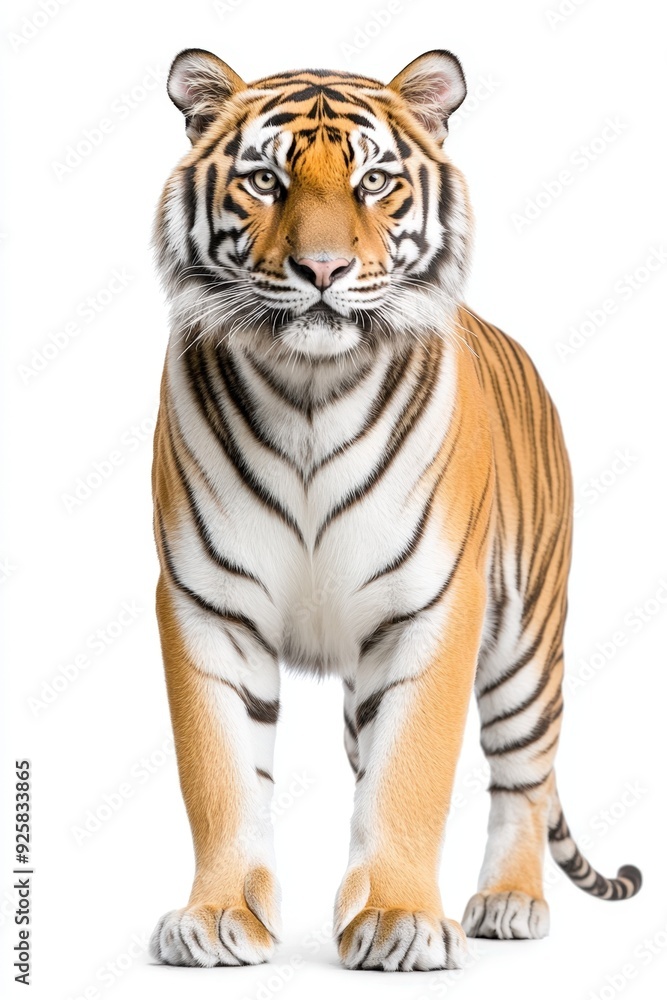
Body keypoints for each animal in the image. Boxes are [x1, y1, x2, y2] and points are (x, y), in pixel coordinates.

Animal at [148, 47, 641, 972]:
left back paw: (509, 902)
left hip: (525, 646)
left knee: (522, 777)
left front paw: (401, 920)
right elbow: (218, 775)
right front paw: (217, 916)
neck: (308, 388)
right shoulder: (207, 604)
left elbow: (410, 773)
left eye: (373, 180)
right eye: (265, 181)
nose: (322, 271)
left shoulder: (433, 605)